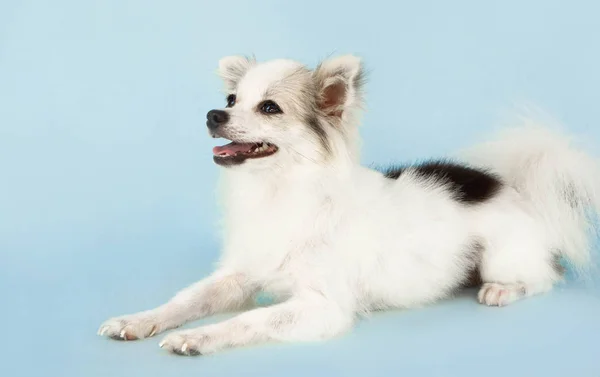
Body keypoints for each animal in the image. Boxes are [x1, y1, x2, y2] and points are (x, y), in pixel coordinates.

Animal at [96, 54, 596, 354]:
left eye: (269, 108)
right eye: (231, 99)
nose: (212, 115)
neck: (279, 190)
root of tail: (514, 187)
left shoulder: (321, 307)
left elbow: (250, 320)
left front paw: (198, 336)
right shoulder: (237, 275)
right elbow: (184, 300)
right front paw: (139, 320)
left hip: (501, 257)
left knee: (544, 277)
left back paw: (501, 290)